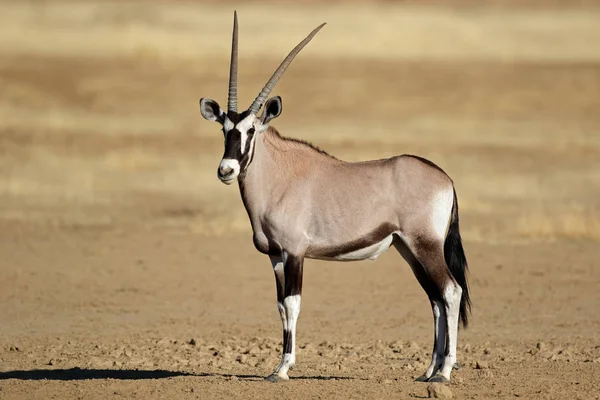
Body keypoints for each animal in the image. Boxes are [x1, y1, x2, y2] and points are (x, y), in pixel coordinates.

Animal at [199, 10, 472, 382]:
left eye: (251, 130)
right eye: (225, 130)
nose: (226, 169)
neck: (280, 176)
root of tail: (445, 179)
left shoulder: (295, 252)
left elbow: (293, 304)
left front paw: (283, 368)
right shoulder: (275, 256)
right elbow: (280, 306)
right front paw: (277, 366)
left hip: (425, 246)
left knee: (450, 292)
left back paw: (444, 372)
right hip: (409, 250)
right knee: (435, 300)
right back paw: (428, 370)